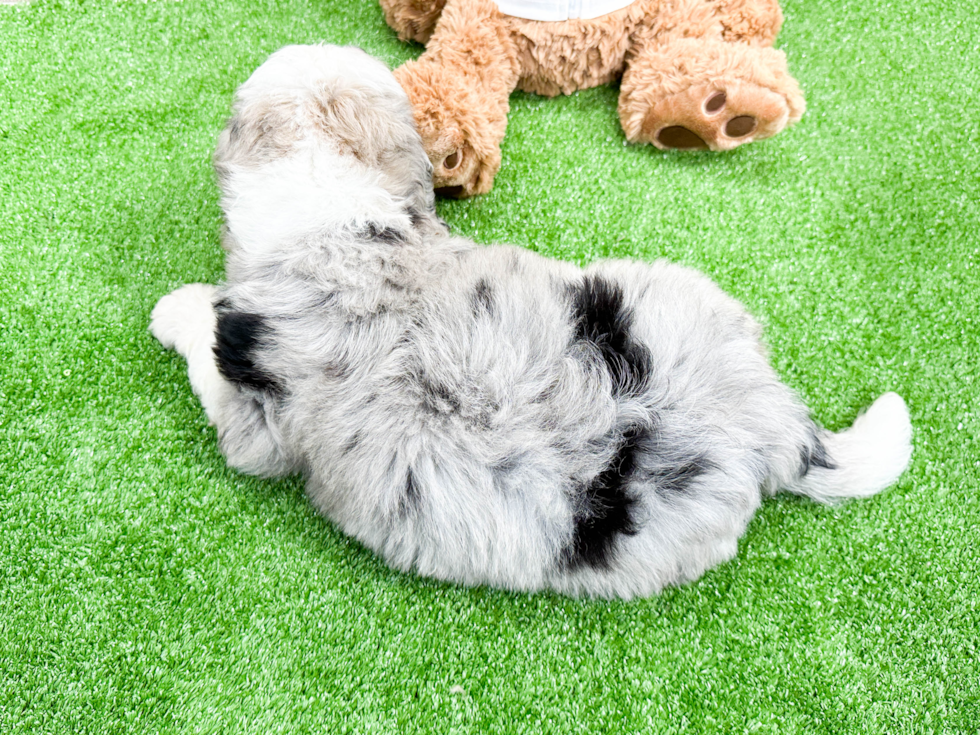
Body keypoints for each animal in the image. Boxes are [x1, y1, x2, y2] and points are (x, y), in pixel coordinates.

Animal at [149, 44, 916, 600]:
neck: (337, 217)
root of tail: (777, 423)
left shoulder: (253, 419)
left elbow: (208, 356)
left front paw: (175, 308)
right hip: (676, 290)